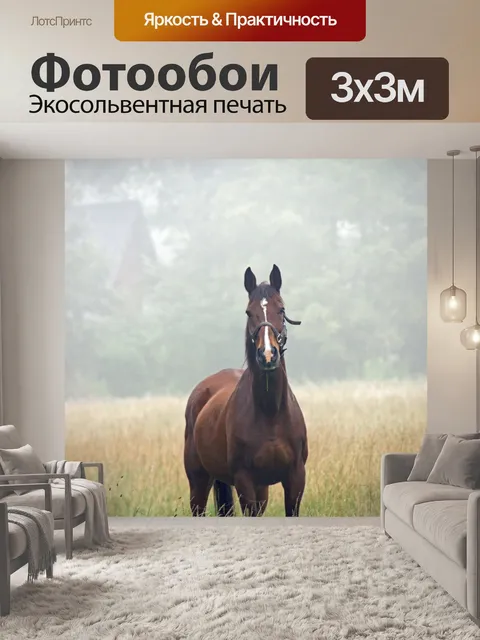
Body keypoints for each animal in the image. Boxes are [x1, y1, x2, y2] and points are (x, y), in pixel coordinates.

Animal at [183, 264, 308, 517]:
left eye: (281, 309)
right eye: (249, 312)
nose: (268, 355)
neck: (270, 413)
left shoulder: (295, 479)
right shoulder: (244, 481)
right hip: (199, 482)